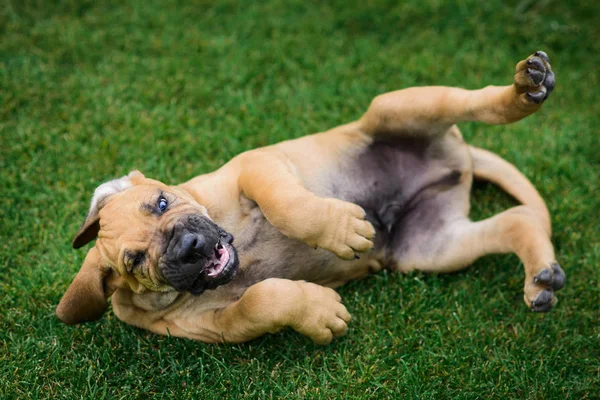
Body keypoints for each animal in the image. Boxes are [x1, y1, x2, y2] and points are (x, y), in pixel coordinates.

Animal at [55, 51, 564, 346]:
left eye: (162, 203)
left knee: (472, 102)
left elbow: (287, 205)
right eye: (136, 262)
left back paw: (525, 88)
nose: (191, 248)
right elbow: (262, 301)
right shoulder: (222, 327)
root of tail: (460, 163)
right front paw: (318, 313)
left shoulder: (256, 166)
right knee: (517, 221)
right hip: (432, 247)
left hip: (400, 107)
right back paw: (540, 277)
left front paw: (339, 230)